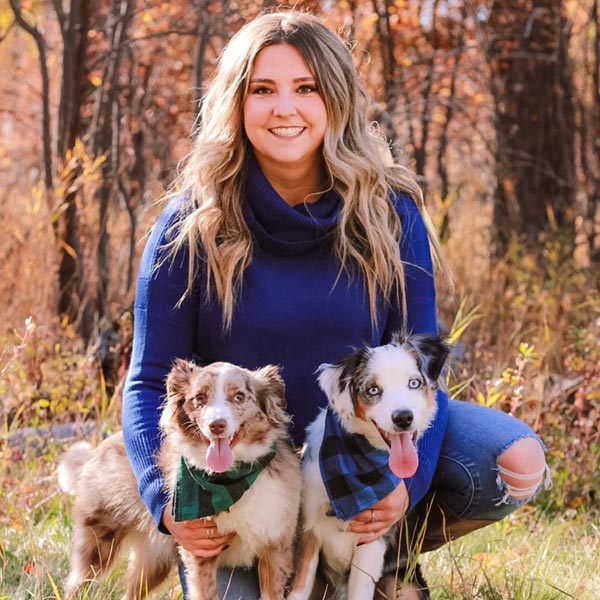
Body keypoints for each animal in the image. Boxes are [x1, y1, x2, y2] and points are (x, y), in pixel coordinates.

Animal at [290, 332, 450, 600]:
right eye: (373, 390)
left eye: (414, 383)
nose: (403, 417)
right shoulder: (308, 531)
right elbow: (298, 590)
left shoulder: (372, 541)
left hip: (402, 583)